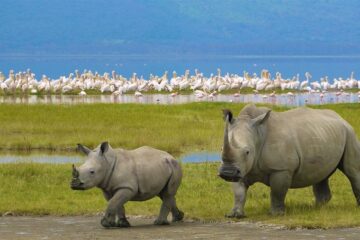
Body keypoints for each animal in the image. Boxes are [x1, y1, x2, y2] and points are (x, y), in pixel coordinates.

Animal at [218, 104, 360, 217]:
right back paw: (316, 208)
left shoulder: (281, 169)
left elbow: (277, 192)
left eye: (247, 152)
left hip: (350, 133)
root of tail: (341, 117)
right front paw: (235, 215)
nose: (227, 172)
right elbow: (239, 192)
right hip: (323, 134)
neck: (257, 134)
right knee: (321, 173)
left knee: (352, 172)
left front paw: (276, 214)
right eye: (221, 149)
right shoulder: (241, 168)